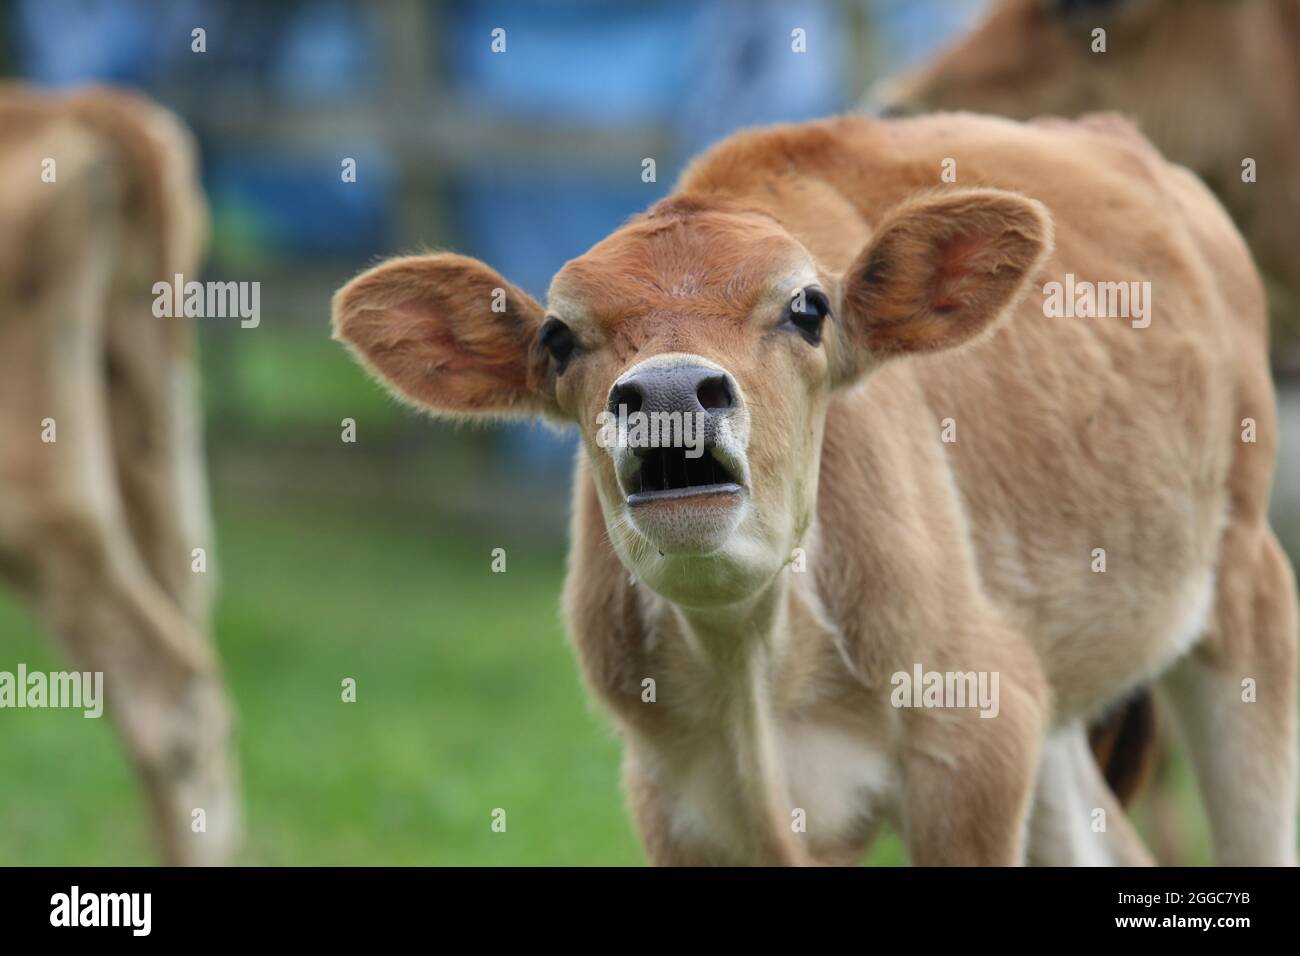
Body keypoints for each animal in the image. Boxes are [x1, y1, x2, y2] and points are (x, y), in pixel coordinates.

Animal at [334, 110, 1296, 865]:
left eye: (807, 308)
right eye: (560, 338)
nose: (671, 392)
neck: (753, 666)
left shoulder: (972, 740)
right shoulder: (673, 795)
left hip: (1247, 590)